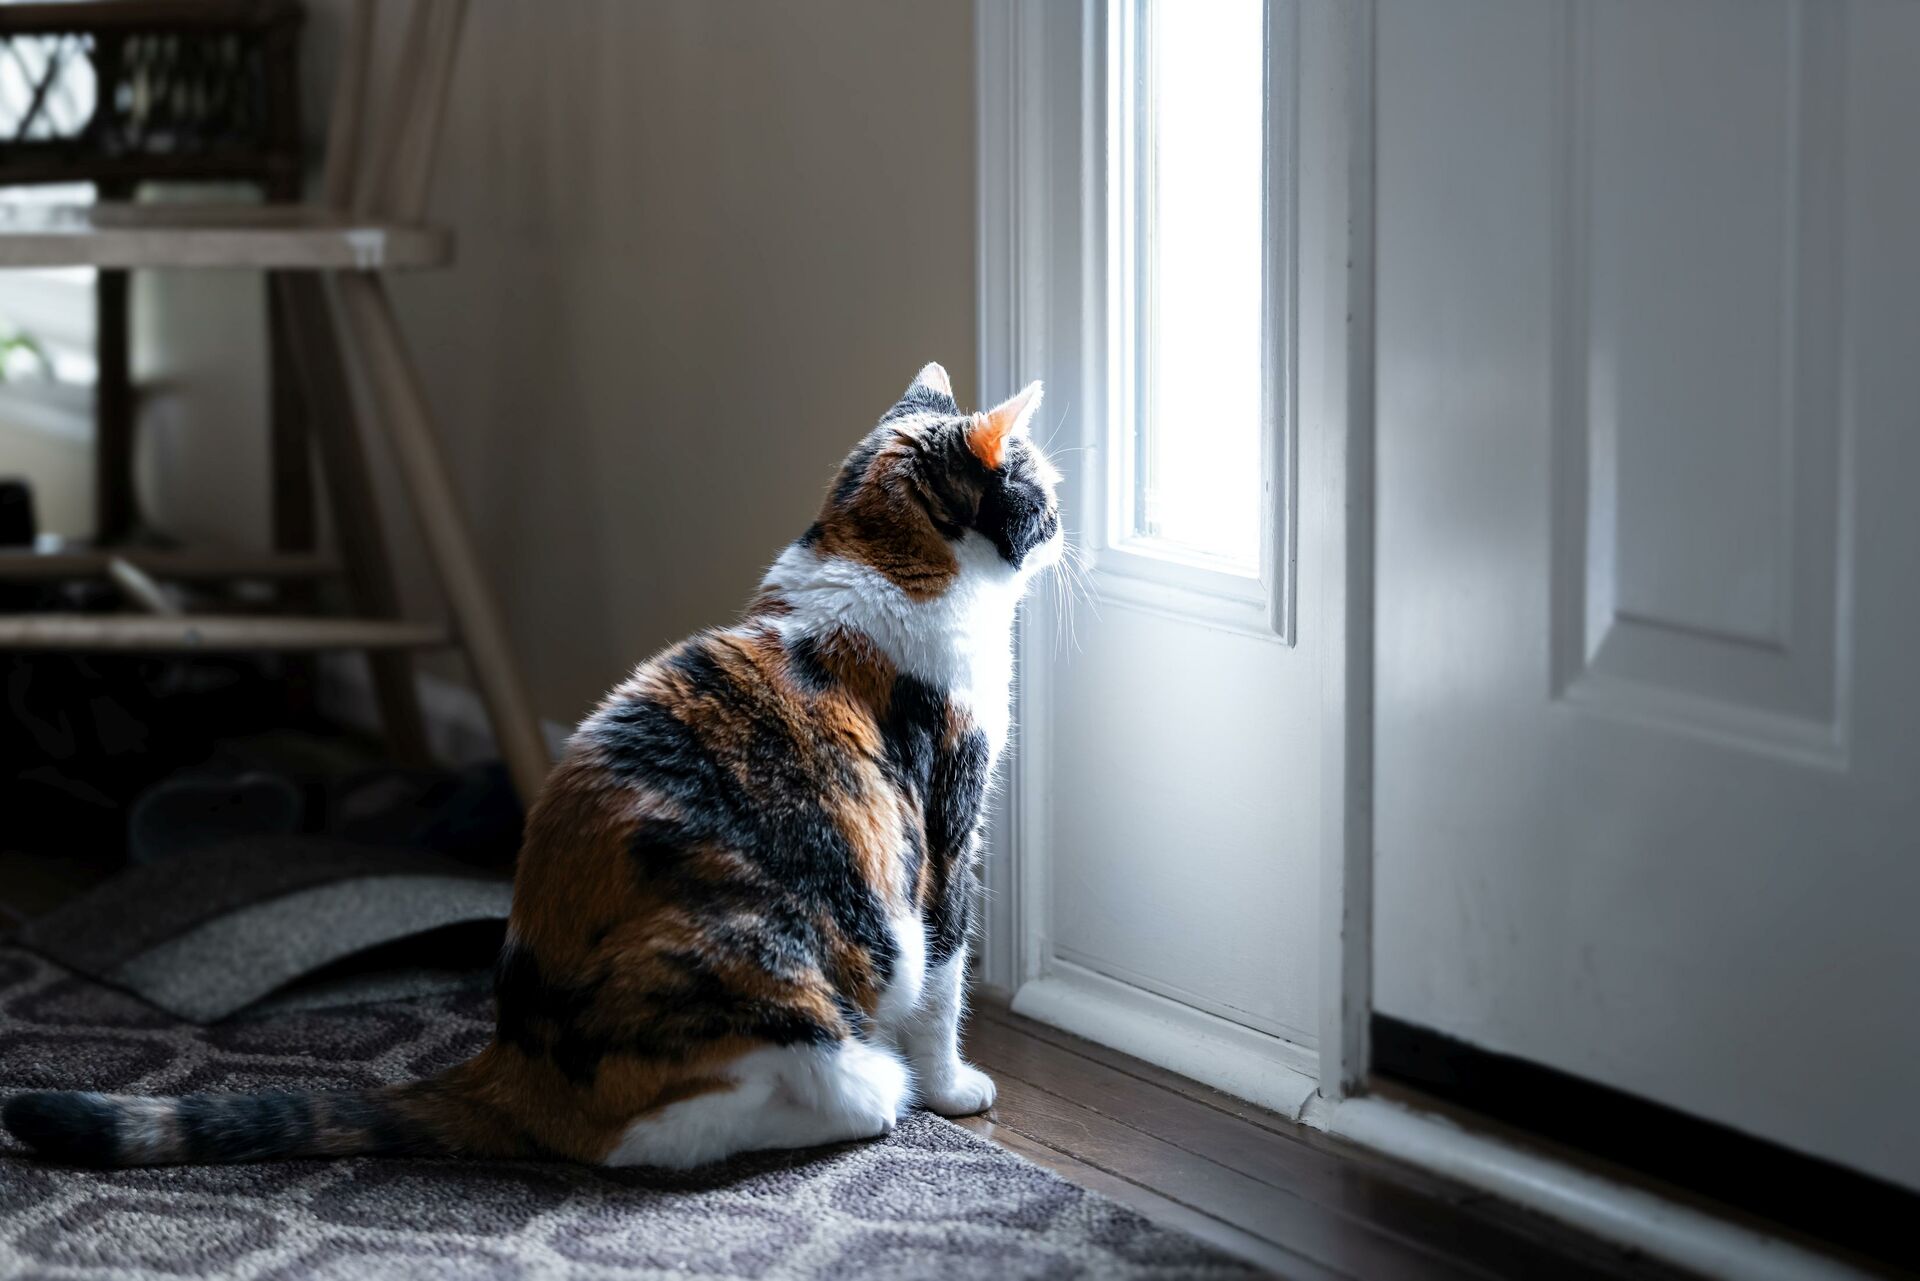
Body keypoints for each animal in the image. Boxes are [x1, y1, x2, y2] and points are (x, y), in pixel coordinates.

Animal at [0, 361, 1059, 1175]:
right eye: (1041, 488)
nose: (1065, 525)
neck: (879, 553)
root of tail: (512, 1062)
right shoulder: (945, 831)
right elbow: (945, 977)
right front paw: (953, 1086)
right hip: (779, 981)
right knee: (661, 1134)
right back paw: (873, 1094)